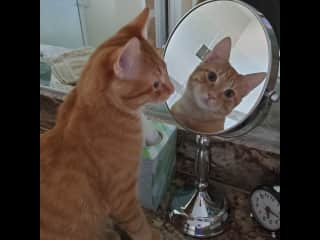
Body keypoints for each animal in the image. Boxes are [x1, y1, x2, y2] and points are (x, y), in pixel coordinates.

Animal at [41, 7, 175, 240]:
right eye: (156, 84)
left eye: (166, 69)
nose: (174, 88)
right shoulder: (123, 197)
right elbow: (140, 225)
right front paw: (153, 235)